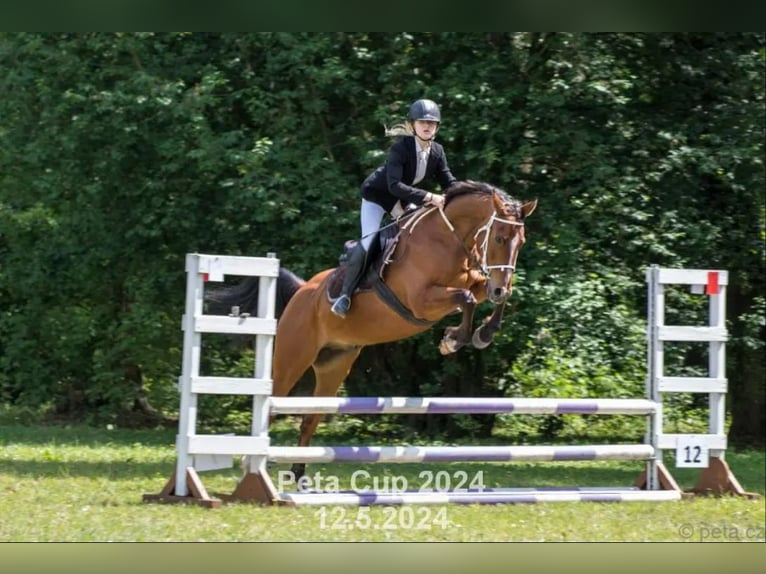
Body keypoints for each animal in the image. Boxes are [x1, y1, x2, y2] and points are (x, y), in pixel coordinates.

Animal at [207, 180, 536, 482]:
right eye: (499, 237)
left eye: (521, 242)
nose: (499, 286)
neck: (450, 240)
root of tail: (302, 290)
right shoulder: (421, 301)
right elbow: (465, 298)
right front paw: (454, 340)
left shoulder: (476, 283)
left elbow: (492, 298)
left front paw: (484, 332)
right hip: (292, 357)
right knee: (273, 406)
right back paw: (252, 467)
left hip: (334, 365)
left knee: (310, 417)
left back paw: (298, 475)